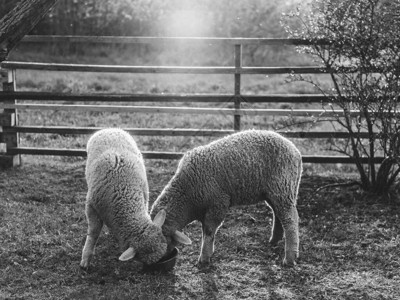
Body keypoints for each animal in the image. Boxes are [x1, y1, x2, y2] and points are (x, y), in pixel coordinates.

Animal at [151, 130, 304, 266]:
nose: (157, 262)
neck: (187, 196)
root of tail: (296, 151)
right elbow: (205, 232)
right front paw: (208, 253)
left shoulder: (217, 204)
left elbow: (209, 232)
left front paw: (204, 259)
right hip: (275, 192)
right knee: (278, 214)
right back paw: (274, 240)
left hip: (282, 187)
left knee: (290, 220)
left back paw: (290, 258)